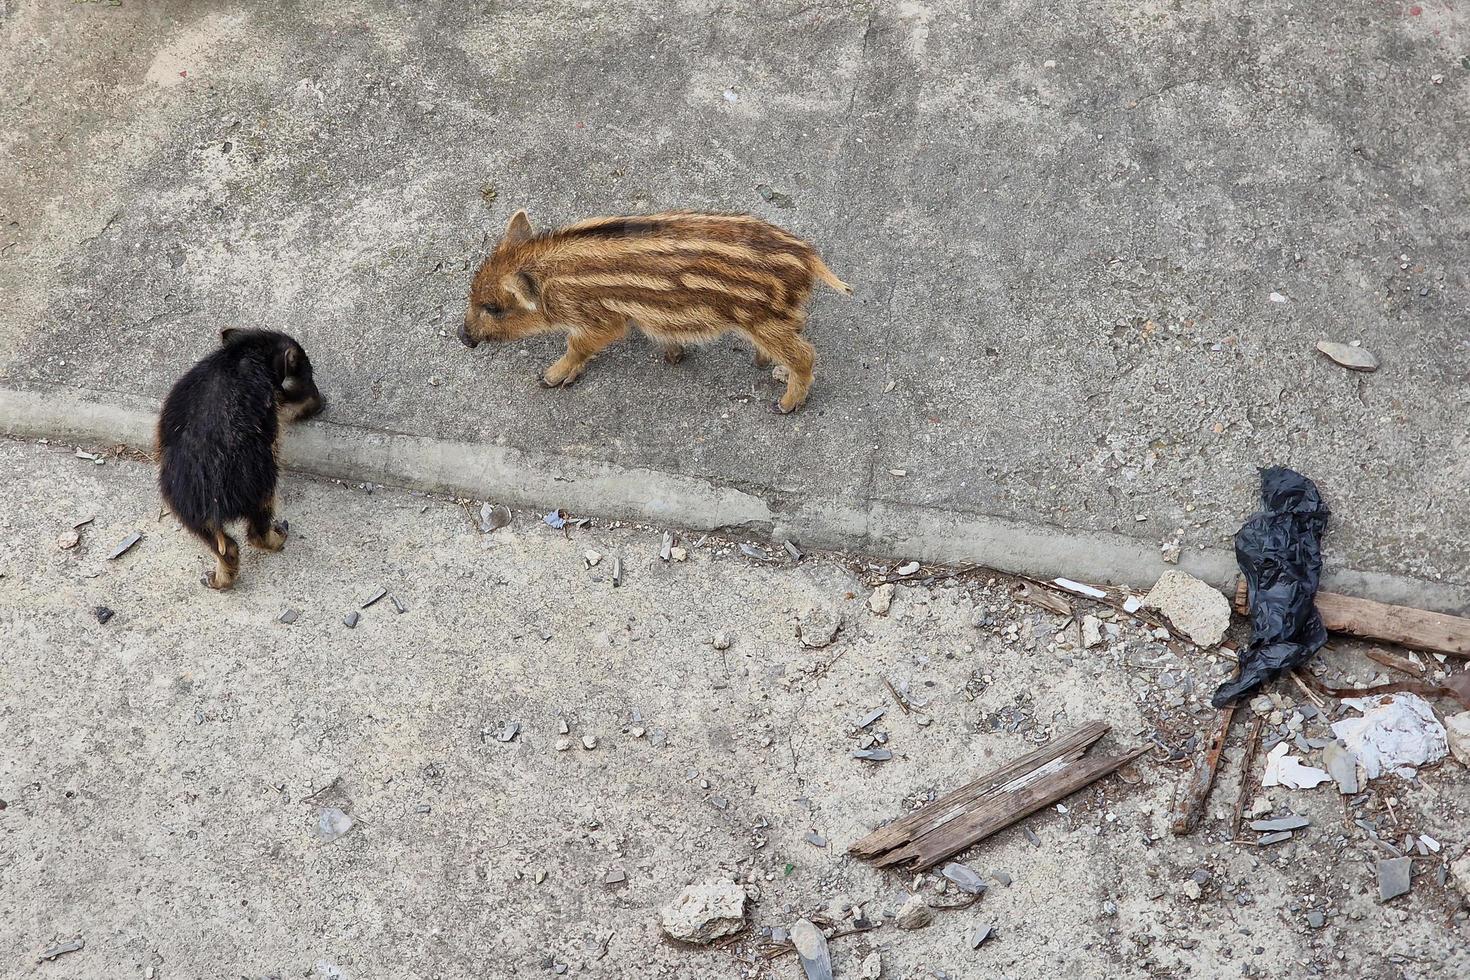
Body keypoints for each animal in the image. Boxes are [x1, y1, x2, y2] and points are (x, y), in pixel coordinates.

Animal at [158, 329, 324, 590]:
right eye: (307, 374)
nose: (322, 402)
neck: (247, 350)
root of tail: (212, 498)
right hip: (261, 481)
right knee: (256, 532)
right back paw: (280, 536)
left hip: (185, 508)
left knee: (227, 548)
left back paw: (216, 580)